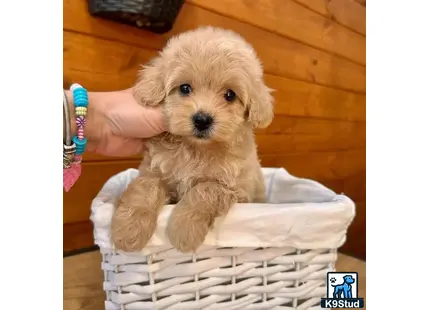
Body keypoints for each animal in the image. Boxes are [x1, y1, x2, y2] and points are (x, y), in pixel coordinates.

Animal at [109, 26, 274, 253]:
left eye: (230, 95)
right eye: (185, 88)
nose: (202, 119)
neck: (196, 149)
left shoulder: (236, 188)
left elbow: (205, 190)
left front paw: (184, 230)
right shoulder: (155, 170)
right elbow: (145, 187)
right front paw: (128, 230)